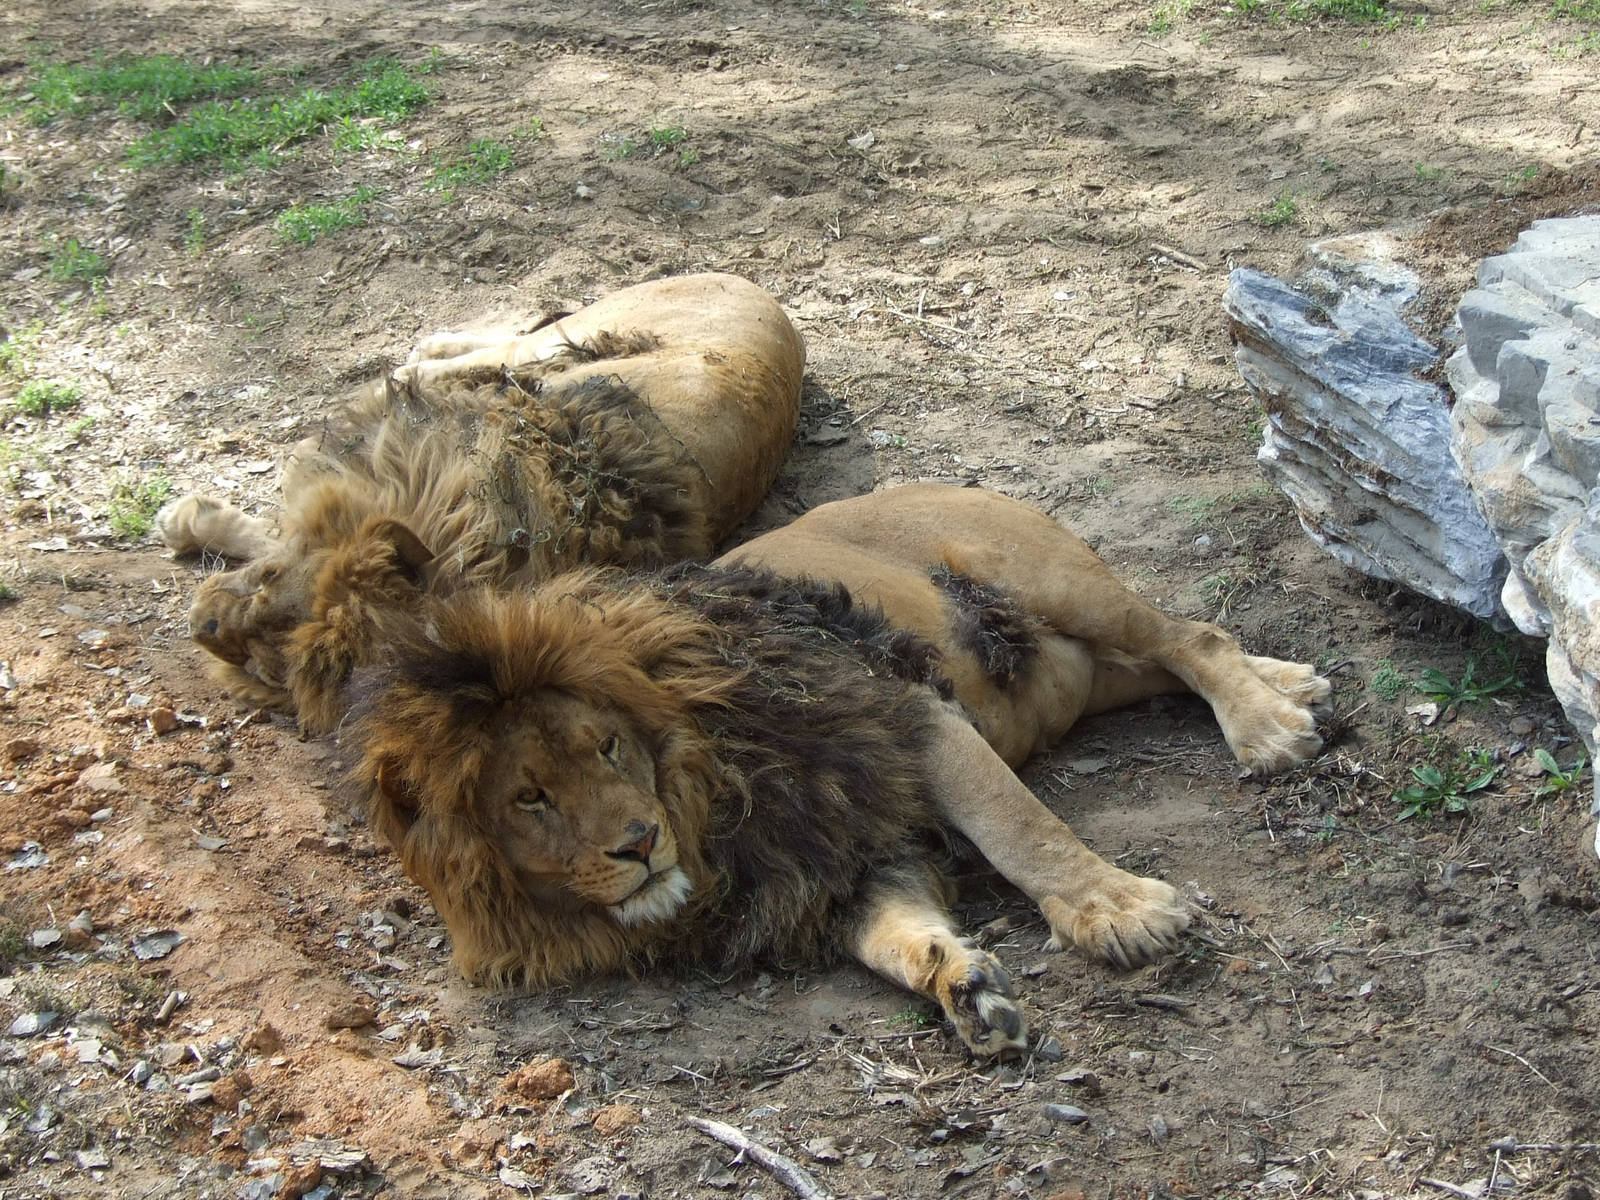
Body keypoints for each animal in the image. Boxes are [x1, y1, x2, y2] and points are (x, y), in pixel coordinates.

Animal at [158, 273, 805, 734]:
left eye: (264, 668)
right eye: (266, 582)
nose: (197, 625)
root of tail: (768, 299)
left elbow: (289, 494)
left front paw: (185, 518)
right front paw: (194, 523)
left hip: (563, 345)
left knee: (491, 348)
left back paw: (419, 353)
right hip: (590, 326)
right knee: (517, 331)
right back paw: (429, 344)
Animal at [352, 484, 1331, 1056]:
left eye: (608, 746)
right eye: (529, 798)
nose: (637, 844)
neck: (711, 806)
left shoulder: (906, 713)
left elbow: (1021, 828)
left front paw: (1120, 912)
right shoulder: (833, 861)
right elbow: (895, 935)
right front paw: (962, 986)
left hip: (1053, 579)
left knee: (1189, 633)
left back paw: (1268, 727)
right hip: (1071, 668)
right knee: (1170, 655)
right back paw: (1295, 684)